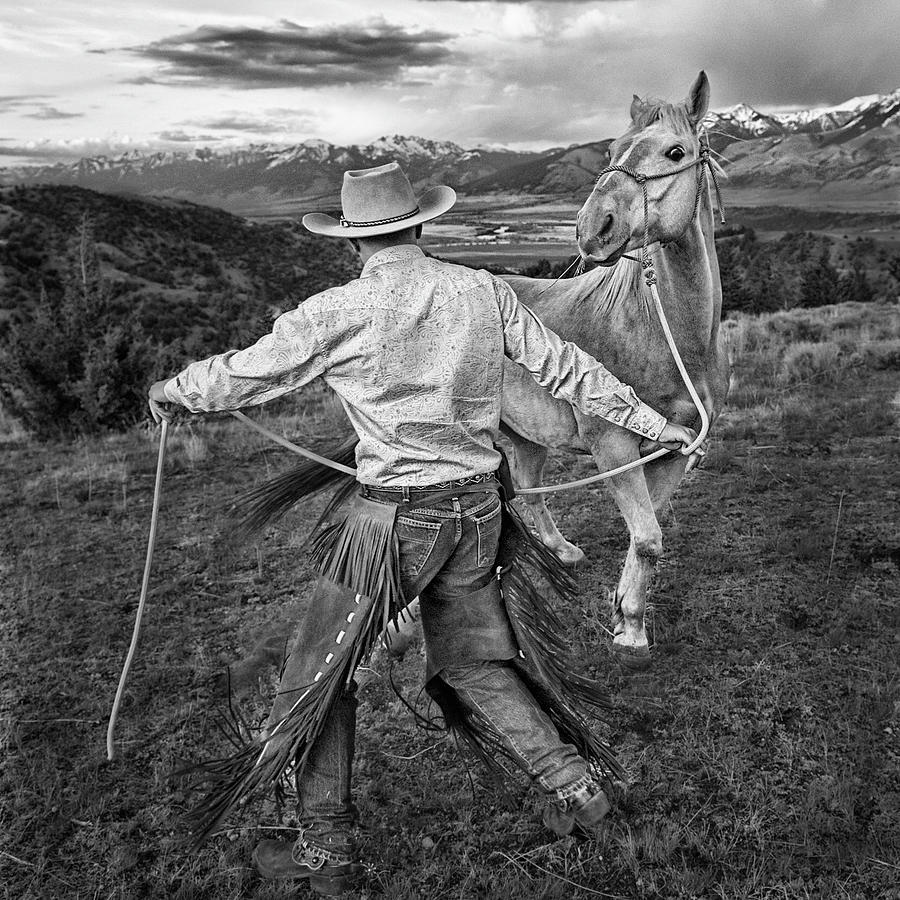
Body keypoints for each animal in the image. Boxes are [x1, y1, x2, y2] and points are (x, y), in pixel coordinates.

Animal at [496, 72, 736, 668]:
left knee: (529, 489)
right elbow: (647, 536)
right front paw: (630, 629)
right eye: (610, 151)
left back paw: (560, 553)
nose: (592, 228)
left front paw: (626, 615)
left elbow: (644, 534)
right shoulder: (614, 446)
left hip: (526, 434)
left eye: (675, 152)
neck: (673, 341)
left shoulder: (677, 451)